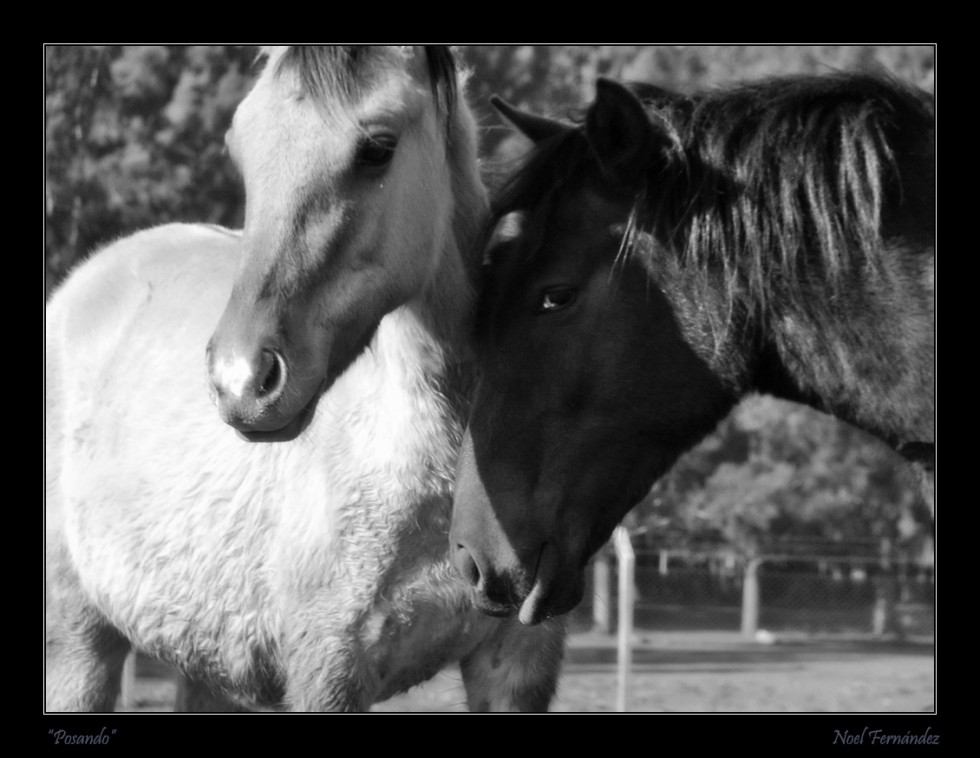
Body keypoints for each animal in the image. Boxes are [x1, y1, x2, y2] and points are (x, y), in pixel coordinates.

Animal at [46, 46, 568, 712]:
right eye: (241, 146)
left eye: (378, 147)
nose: (241, 381)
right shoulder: (327, 671)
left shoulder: (516, 661)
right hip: (78, 644)